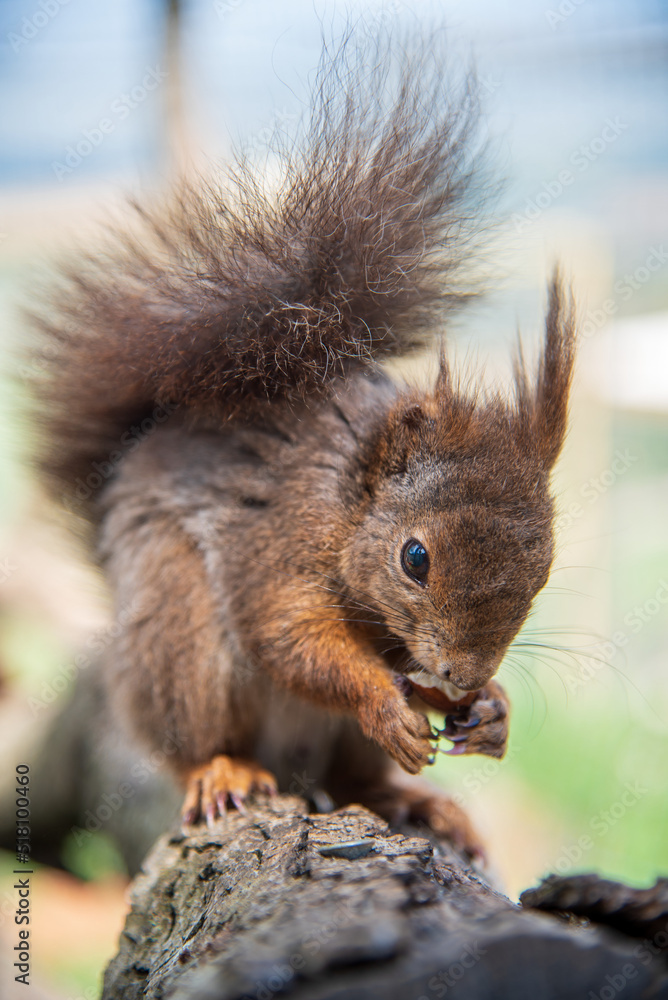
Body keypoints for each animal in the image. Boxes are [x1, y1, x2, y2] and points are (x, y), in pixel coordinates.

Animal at [28, 31, 576, 858]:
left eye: (544, 569)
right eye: (415, 559)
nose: (461, 675)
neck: (350, 503)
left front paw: (493, 711)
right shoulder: (277, 539)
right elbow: (289, 637)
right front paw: (385, 699)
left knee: (351, 779)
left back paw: (414, 801)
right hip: (182, 636)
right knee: (192, 738)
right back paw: (221, 769)